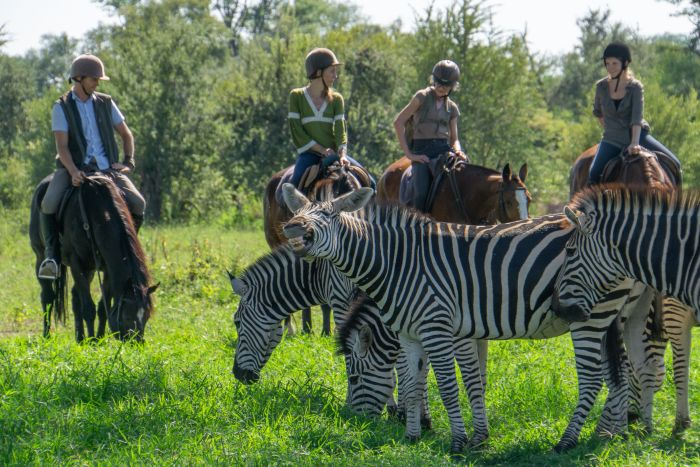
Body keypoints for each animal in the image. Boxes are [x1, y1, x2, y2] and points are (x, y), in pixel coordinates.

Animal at [29, 174, 158, 342]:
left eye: (147, 316)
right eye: (127, 317)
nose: (137, 343)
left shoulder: (107, 269)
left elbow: (103, 307)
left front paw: (99, 338)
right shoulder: (76, 263)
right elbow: (88, 307)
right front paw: (92, 341)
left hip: (89, 269)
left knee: (75, 297)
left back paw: (80, 337)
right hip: (41, 257)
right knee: (48, 296)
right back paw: (47, 335)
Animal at [280, 185, 644, 456]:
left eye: (328, 215)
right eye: (300, 213)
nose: (354, 423)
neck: (397, 263)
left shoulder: (439, 329)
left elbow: (450, 385)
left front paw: (459, 442)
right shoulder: (412, 334)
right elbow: (415, 382)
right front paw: (414, 437)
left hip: (590, 317)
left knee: (593, 378)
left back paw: (568, 441)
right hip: (615, 315)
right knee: (620, 372)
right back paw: (609, 436)